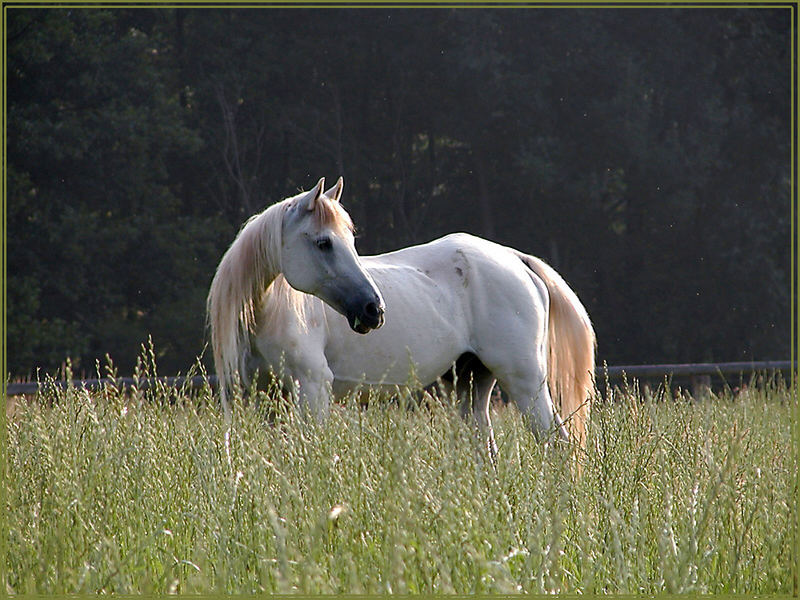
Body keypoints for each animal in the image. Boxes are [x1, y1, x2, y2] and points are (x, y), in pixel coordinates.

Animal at [206, 177, 592, 450]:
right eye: (323, 242)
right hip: (471, 385)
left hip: (526, 382)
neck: (267, 313)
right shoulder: (262, 399)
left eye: (351, 240)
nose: (373, 310)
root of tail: (516, 258)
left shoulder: (313, 388)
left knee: (557, 444)